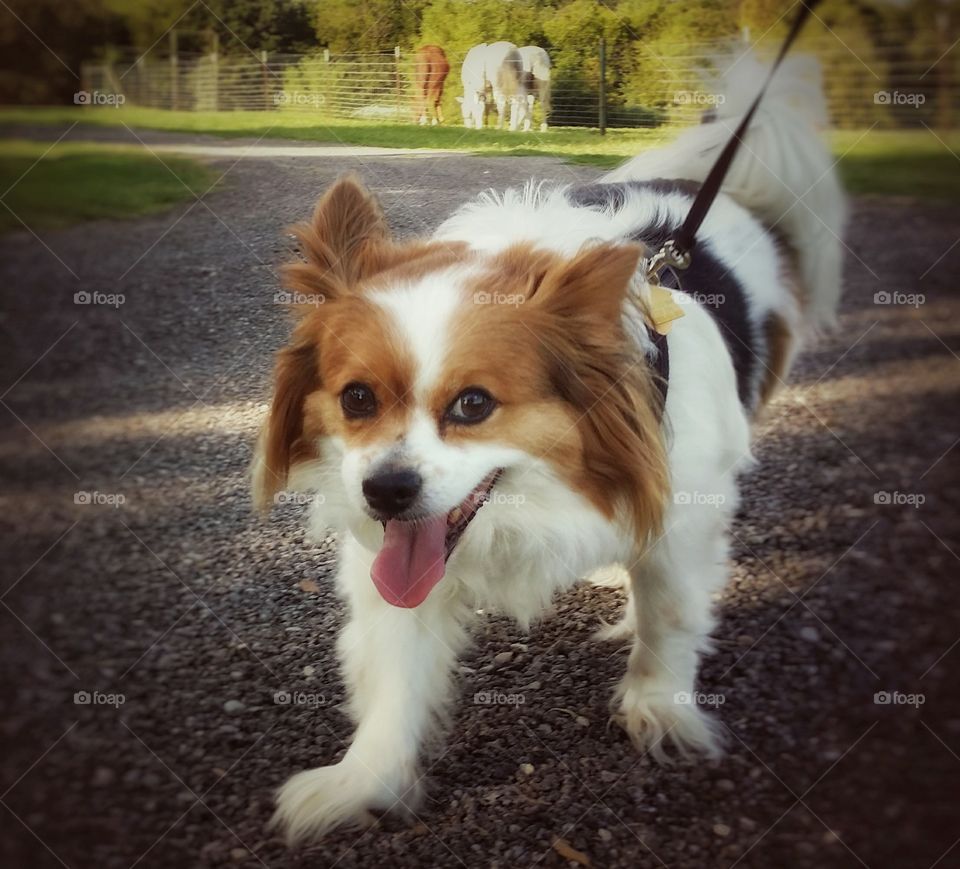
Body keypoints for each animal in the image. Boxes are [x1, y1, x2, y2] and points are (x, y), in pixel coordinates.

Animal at [251, 52, 844, 840]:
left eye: (474, 405)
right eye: (357, 399)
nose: (386, 491)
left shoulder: (683, 520)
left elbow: (670, 618)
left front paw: (659, 710)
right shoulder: (396, 563)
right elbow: (394, 672)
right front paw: (365, 779)